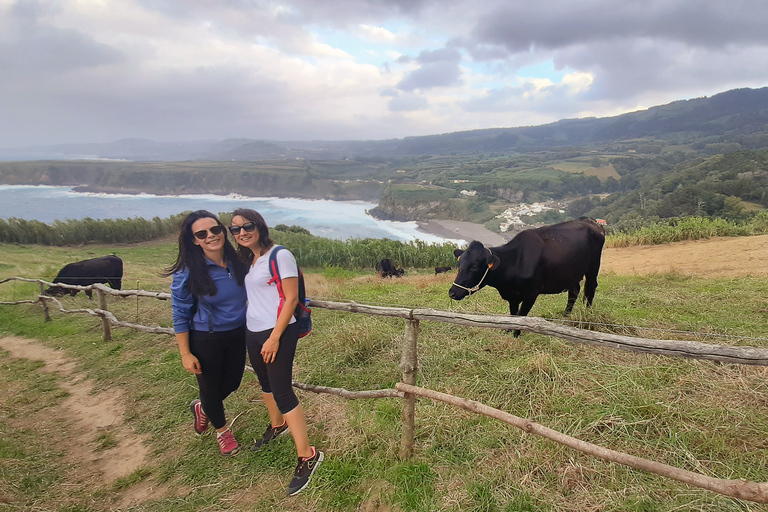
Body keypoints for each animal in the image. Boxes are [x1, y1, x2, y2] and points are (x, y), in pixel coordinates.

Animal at [450, 219, 608, 336]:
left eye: (474, 267)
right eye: (460, 264)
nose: (452, 292)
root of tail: (590, 221)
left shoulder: (532, 293)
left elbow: (521, 315)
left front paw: (516, 334)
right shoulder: (513, 296)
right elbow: (513, 314)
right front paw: (509, 331)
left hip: (593, 267)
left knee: (590, 288)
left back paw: (587, 314)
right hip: (570, 273)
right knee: (574, 291)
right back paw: (565, 316)